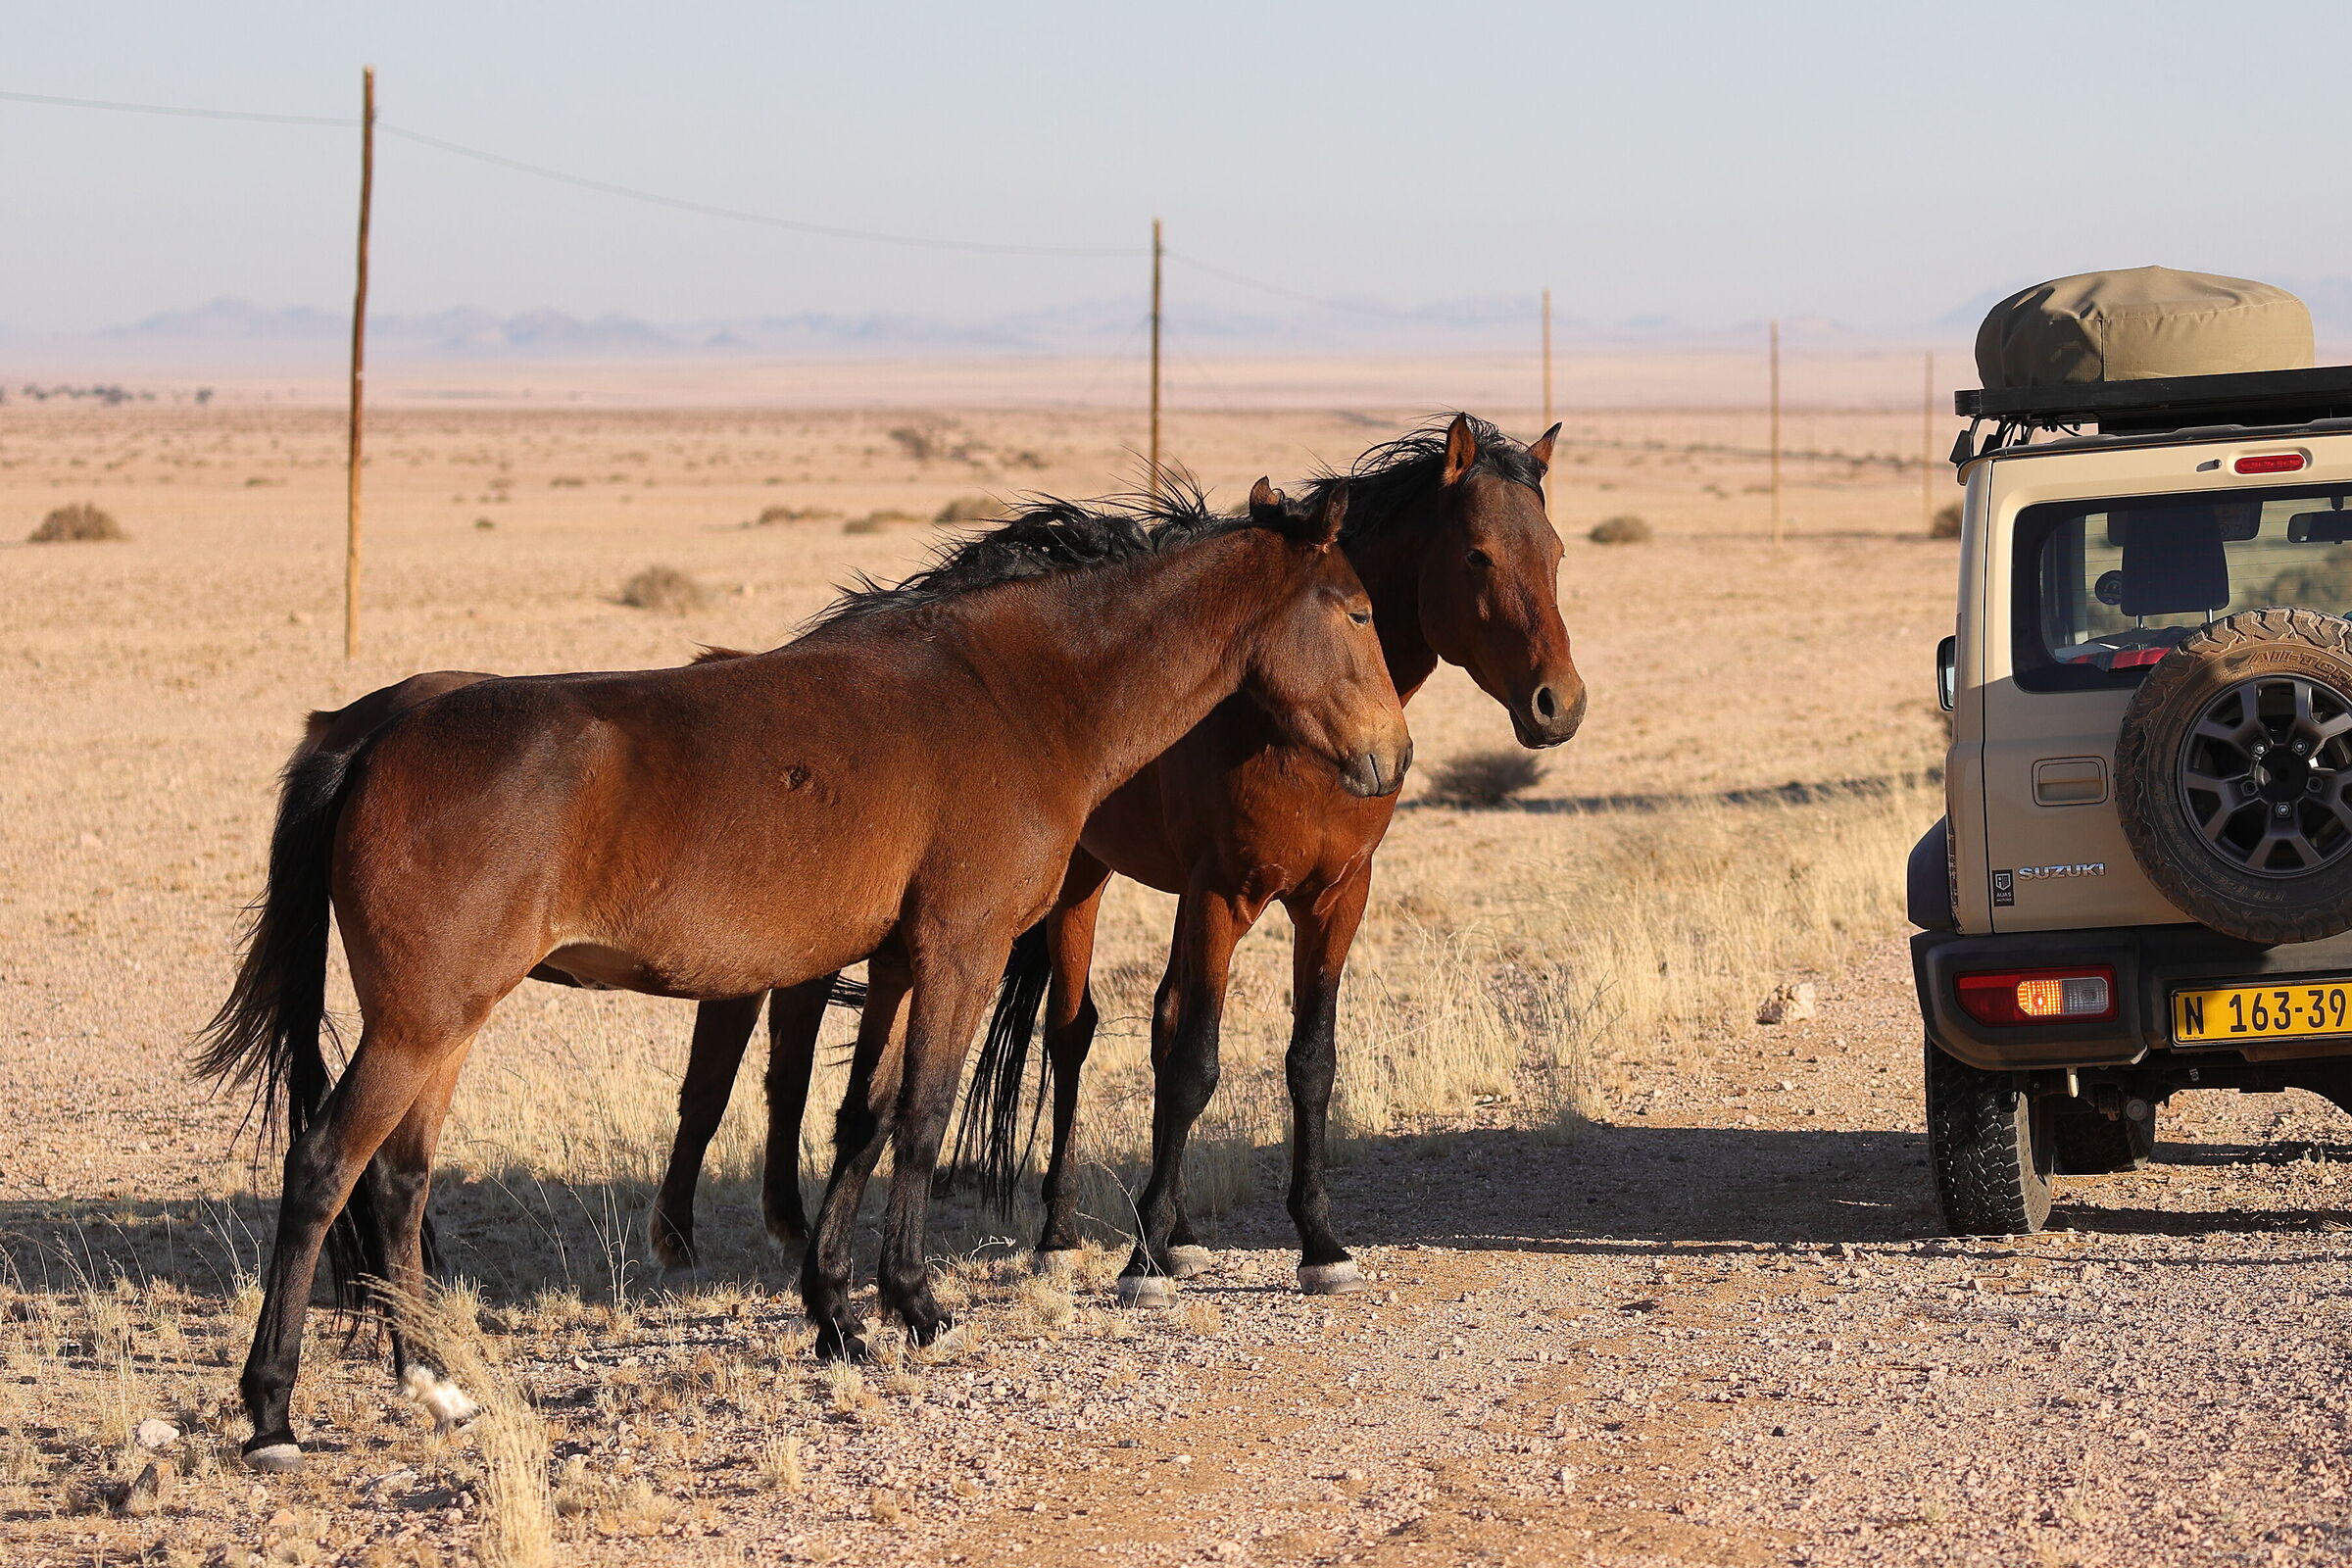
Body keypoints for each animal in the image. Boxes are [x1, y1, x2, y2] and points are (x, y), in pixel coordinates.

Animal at [196, 479, 1409, 1471]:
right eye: (1356, 611)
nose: (1391, 759)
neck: (1019, 692)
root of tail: (373, 725)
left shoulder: (897, 959)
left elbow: (860, 1121)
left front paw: (836, 1312)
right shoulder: (959, 950)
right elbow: (920, 1119)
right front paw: (916, 1303)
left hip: (448, 1025)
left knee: (397, 1181)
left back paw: (435, 1385)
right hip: (419, 1022)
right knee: (323, 1167)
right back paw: (273, 1412)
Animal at [649, 414, 1582, 1299]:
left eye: (1557, 554)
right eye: (1477, 554)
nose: (1558, 704)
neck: (1283, 727)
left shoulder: (1337, 896)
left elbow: (1306, 1061)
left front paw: (1314, 1243)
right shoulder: (1219, 893)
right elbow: (1193, 1057)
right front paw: (1144, 1257)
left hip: (1097, 882)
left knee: (1095, 1031)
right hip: (1037, 892)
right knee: (946, 1037)